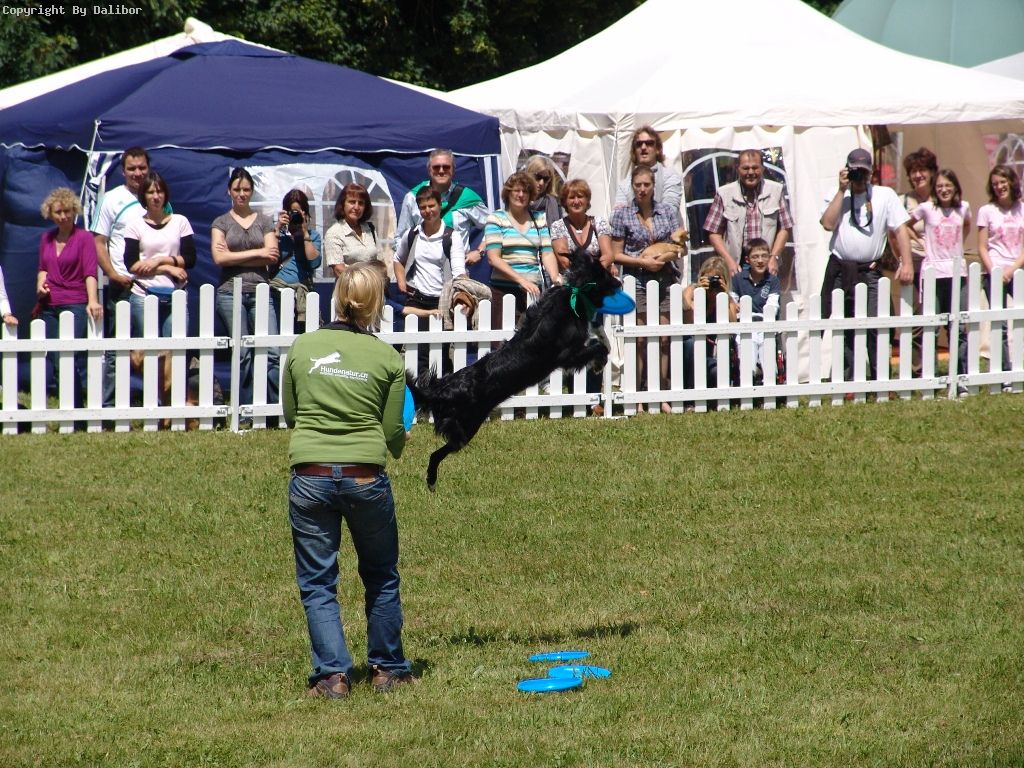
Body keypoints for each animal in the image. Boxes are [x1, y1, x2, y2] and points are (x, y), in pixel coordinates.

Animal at [408, 255, 622, 489]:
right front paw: (600, 362)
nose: (620, 282)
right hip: (465, 427)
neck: (571, 297)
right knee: (437, 454)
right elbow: (597, 348)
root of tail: (442, 389)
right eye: (606, 274)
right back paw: (431, 480)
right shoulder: (567, 355)